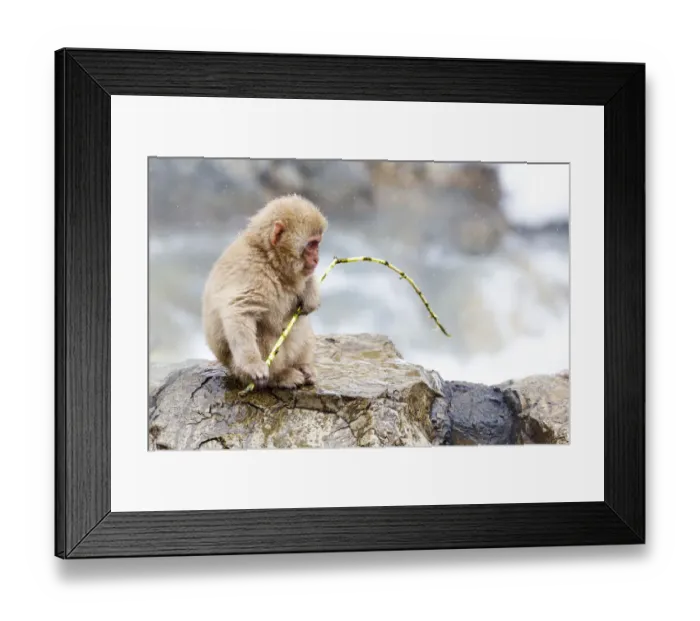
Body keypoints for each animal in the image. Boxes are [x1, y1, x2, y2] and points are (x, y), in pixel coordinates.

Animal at [201, 194, 328, 390]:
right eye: (312, 244)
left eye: (317, 243)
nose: (317, 259)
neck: (269, 258)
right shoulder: (252, 273)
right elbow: (239, 311)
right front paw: (252, 363)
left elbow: (304, 279)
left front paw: (311, 295)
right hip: (238, 369)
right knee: (265, 333)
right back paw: (280, 376)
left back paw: (303, 366)